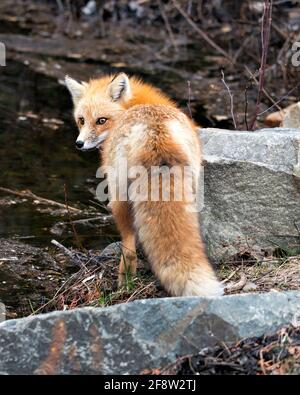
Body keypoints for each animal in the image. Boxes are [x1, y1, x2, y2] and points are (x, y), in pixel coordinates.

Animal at [64, 73, 221, 296]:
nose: (79, 144)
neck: (137, 105)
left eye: (101, 120)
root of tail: (155, 131)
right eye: (81, 120)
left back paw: (125, 283)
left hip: (119, 195)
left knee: (129, 248)